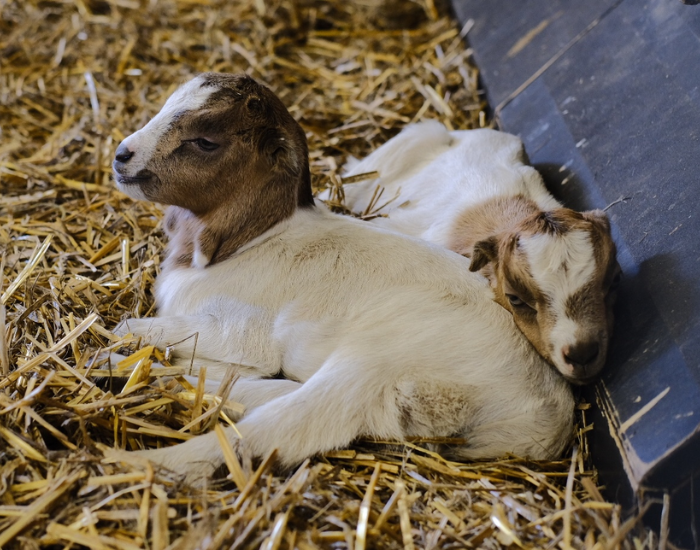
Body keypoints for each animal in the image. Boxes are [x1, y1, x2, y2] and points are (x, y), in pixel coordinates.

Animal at [112, 73, 574, 483]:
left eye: (206, 141)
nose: (121, 154)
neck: (252, 242)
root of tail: (546, 412)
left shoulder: (238, 331)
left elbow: (129, 326)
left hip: (377, 362)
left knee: (289, 425)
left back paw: (135, 459)